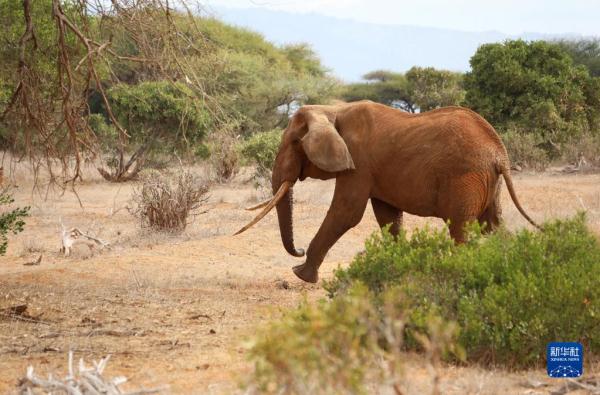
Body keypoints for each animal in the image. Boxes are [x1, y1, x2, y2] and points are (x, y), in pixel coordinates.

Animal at [234, 100, 540, 284]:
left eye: (295, 142)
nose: (297, 251)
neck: (332, 111)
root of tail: (500, 155)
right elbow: (388, 217)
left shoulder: (358, 163)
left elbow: (346, 213)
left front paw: (301, 275)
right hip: (487, 183)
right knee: (493, 226)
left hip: (466, 179)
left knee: (461, 228)